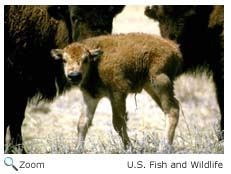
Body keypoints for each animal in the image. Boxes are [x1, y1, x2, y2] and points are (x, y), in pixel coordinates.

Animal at [50, 32, 182, 152]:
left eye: (85, 59)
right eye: (64, 60)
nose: (74, 75)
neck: (96, 63)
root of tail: (173, 48)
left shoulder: (117, 93)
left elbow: (118, 123)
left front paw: (129, 148)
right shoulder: (90, 97)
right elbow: (83, 123)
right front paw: (78, 149)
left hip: (160, 83)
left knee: (172, 110)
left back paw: (164, 147)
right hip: (150, 87)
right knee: (168, 109)